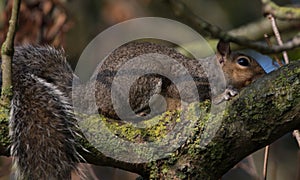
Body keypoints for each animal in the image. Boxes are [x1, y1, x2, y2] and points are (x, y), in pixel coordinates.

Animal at [5, 40, 264, 179]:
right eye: (243, 62)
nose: (263, 74)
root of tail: (85, 93)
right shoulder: (186, 81)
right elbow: (189, 97)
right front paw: (225, 94)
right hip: (143, 81)